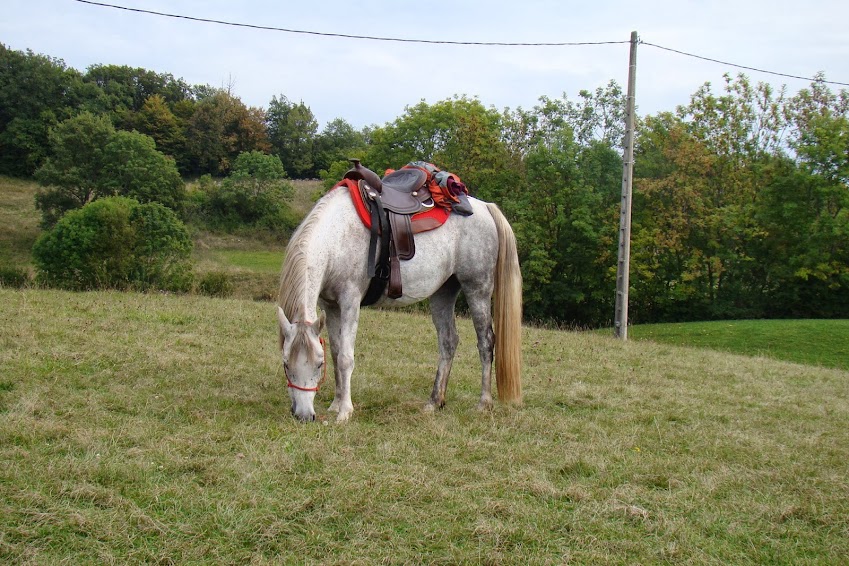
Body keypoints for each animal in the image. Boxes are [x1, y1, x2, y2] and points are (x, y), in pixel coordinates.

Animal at [276, 185, 524, 422]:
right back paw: (434, 402)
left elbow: (346, 357)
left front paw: (345, 412)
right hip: (443, 292)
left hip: (477, 288)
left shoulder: (349, 301)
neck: (336, 237)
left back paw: (484, 403)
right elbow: (336, 354)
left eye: (318, 364)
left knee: (486, 342)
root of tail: (485, 207)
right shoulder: (330, 305)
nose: (304, 415)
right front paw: (336, 404)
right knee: (448, 341)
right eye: (286, 364)